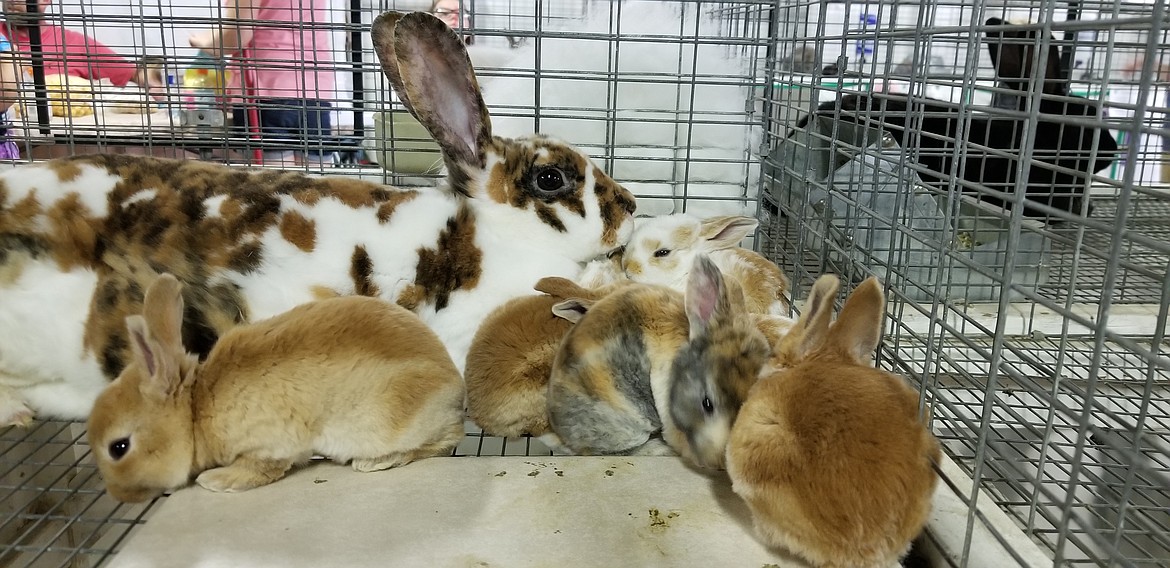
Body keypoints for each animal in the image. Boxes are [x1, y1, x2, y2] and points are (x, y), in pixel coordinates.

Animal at [87, 272, 465, 501]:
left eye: (118, 448)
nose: (118, 495)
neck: (194, 409)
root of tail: (454, 387)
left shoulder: (267, 446)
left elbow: (259, 470)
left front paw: (216, 481)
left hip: (390, 423)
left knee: (443, 442)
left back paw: (376, 462)